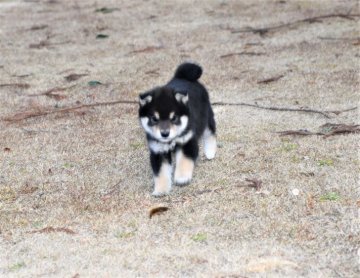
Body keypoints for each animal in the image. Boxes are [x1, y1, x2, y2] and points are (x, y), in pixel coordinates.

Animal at [139, 62, 217, 195]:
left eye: (174, 118)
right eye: (154, 119)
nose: (165, 133)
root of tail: (182, 76)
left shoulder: (187, 142)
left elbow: (184, 161)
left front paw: (182, 178)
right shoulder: (158, 151)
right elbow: (161, 172)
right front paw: (161, 190)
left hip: (206, 115)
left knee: (210, 132)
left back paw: (210, 151)